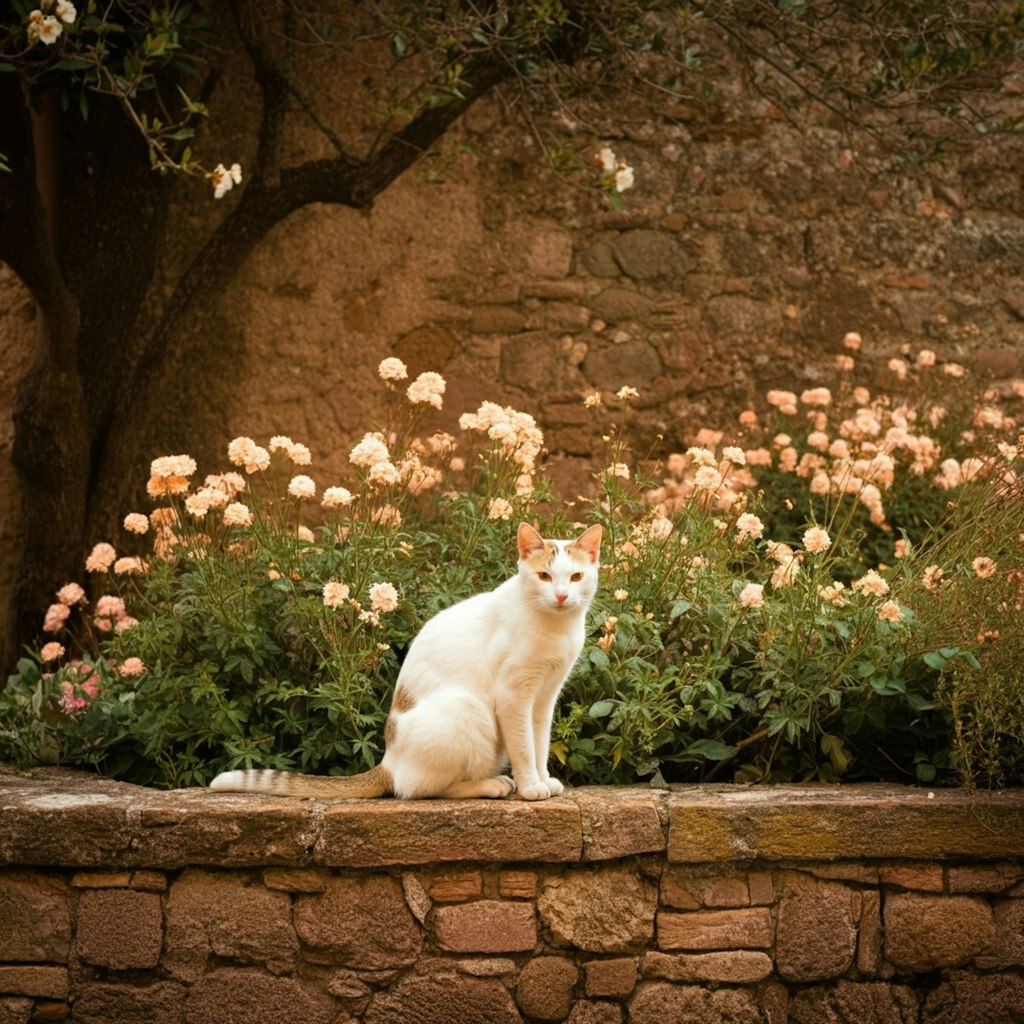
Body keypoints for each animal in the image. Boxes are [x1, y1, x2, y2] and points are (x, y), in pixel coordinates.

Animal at [207, 528, 598, 798]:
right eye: (544, 576)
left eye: (576, 577)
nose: (561, 595)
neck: (556, 628)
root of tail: (388, 760)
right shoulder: (514, 697)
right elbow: (523, 747)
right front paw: (531, 786)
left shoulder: (544, 698)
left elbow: (540, 744)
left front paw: (543, 779)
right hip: (467, 708)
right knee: (419, 789)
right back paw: (491, 785)